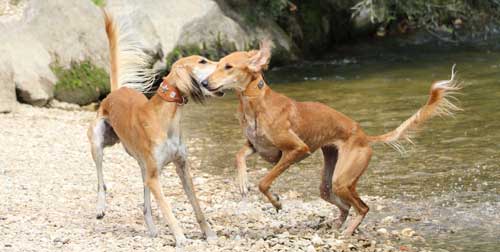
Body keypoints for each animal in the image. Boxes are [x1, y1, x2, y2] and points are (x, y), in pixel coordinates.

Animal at [87, 11, 216, 246]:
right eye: (202, 61)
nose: (226, 64)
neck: (166, 119)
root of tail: (115, 92)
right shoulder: (155, 178)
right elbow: (167, 208)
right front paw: (180, 238)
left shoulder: (182, 168)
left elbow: (196, 205)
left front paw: (208, 233)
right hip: (98, 141)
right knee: (101, 179)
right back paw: (100, 206)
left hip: (143, 166)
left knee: (145, 204)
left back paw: (151, 227)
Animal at [202, 41, 460, 236]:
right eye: (217, 64)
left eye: (228, 66)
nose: (204, 83)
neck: (255, 102)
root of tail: (365, 136)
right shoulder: (257, 147)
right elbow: (239, 155)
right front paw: (242, 182)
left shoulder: (296, 149)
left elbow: (264, 182)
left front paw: (275, 201)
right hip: (329, 181)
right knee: (345, 206)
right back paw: (337, 226)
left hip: (342, 179)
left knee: (363, 208)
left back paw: (347, 233)